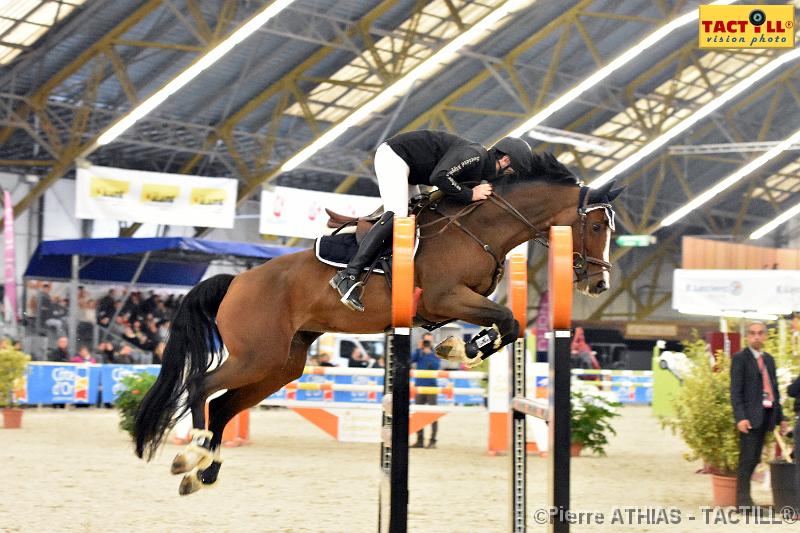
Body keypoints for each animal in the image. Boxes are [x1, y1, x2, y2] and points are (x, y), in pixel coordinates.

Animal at [133, 154, 624, 494]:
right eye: (597, 225)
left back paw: (205, 471)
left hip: (280, 364)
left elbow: (510, 325)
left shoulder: (454, 306)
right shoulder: (446, 297)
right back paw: (189, 457)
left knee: (223, 406)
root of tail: (236, 280)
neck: (484, 226)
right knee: (201, 386)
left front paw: (459, 349)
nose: (599, 283)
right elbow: (508, 319)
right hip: (257, 354)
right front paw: (461, 349)